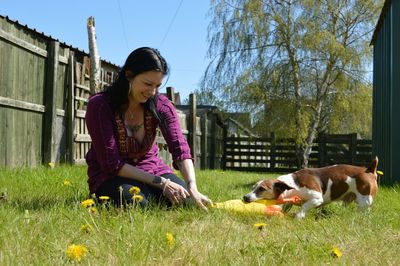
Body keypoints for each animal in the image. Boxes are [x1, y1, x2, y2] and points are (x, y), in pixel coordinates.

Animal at [244, 158, 378, 218]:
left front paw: (299, 216)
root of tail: (368, 170)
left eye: (262, 189)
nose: (245, 197)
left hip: (364, 201)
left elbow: (304, 206)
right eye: (253, 187)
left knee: (365, 211)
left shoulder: (317, 198)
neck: (293, 186)